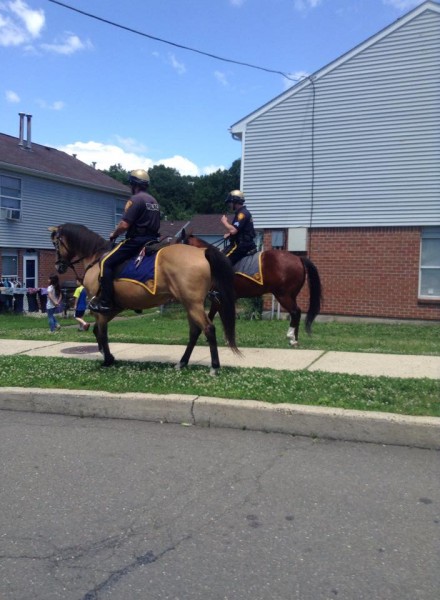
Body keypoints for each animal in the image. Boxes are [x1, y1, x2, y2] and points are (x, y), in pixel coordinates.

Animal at [49, 223, 239, 372]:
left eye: (56, 243)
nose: (58, 266)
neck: (95, 258)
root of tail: (202, 252)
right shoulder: (114, 306)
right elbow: (98, 330)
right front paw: (105, 354)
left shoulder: (101, 306)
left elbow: (101, 331)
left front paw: (108, 359)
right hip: (190, 304)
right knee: (195, 331)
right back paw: (182, 362)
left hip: (193, 304)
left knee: (208, 328)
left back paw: (214, 367)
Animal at [177, 231, 322, 344]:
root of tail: (298, 258)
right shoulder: (219, 300)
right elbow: (219, 317)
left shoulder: (217, 298)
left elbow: (212, 316)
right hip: (291, 295)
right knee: (296, 313)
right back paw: (295, 339)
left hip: (283, 295)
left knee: (295, 312)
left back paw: (291, 337)